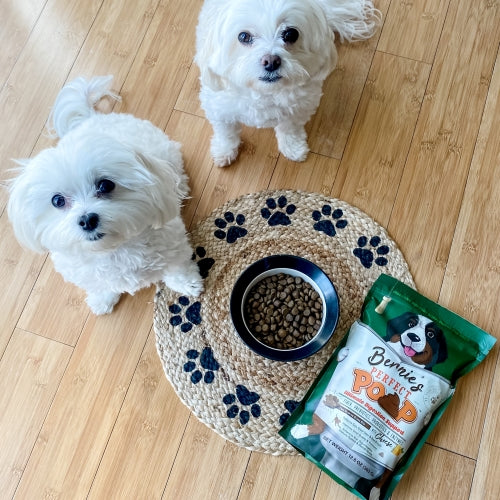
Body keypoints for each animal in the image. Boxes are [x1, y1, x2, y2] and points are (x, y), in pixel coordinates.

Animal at [6, 75, 202, 314]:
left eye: (105, 185)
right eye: (57, 200)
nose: (87, 220)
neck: (113, 250)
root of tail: (92, 118)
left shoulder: (174, 247)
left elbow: (177, 268)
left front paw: (188, 284)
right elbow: (101, 285)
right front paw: (102, 299)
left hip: (167, 153)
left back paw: (179, 188)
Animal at [194, 0, 378, 168]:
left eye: (290, 34)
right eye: (243, 36)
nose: (271, 62)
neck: (265, 93)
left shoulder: (300, 108)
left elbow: (290, 129)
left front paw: (293, 148)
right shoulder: (219, 108)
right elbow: (226, 132)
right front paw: (224, 151)